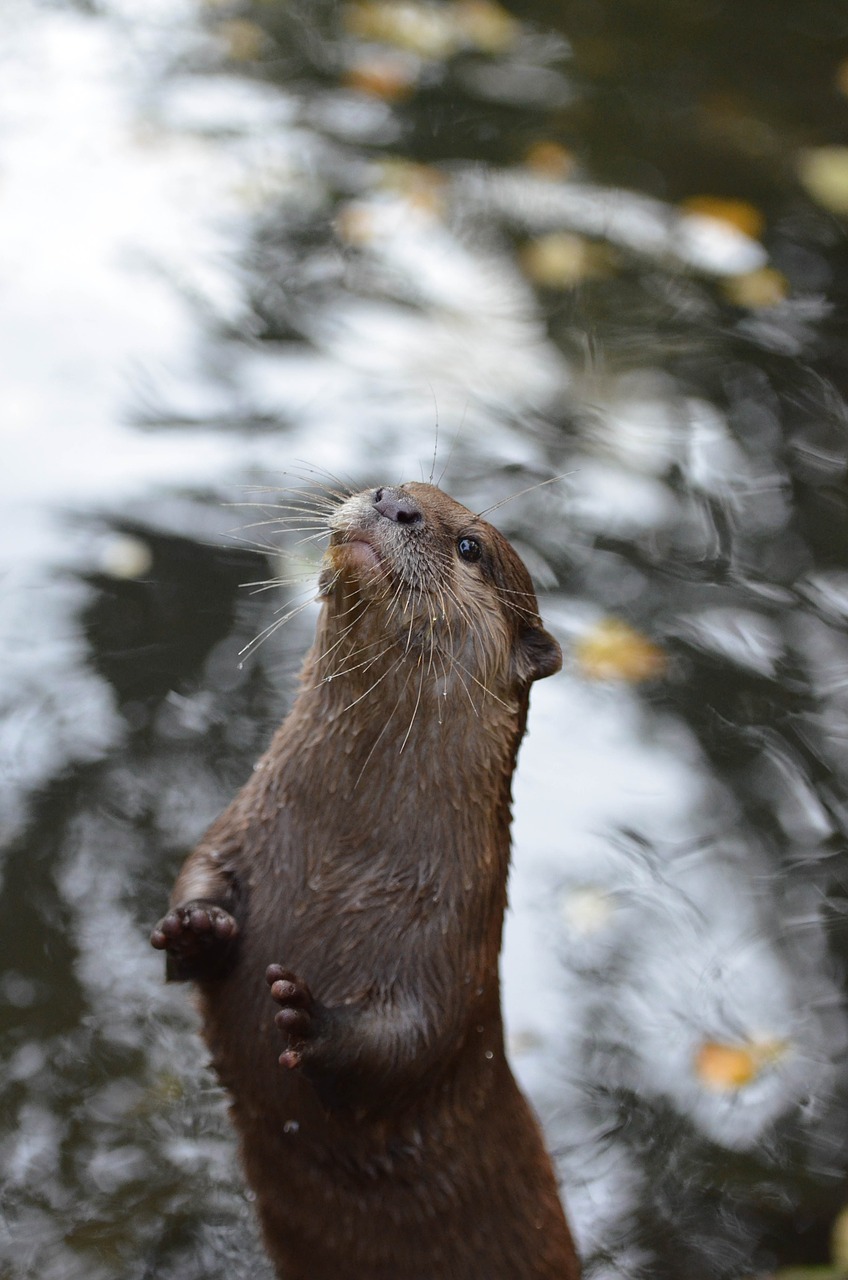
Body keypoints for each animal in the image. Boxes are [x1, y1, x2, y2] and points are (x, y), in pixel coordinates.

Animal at [153, 481, 581, 1280]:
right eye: (399, 485)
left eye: (470, 546)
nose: (394, 505)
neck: (334, 860)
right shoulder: (243, 822)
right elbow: (200, 865)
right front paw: (196, 930)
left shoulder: (456, 936)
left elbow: (414, 1041)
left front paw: (309, 1019)